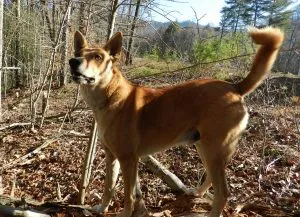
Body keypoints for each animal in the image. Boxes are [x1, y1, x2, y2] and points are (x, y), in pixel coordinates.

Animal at [69, 27, 284, 217]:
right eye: (78, 53)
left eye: (98, 57)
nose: (73, 61)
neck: (108, 96)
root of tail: (235, 87)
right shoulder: (112, 156)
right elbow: (109, 188)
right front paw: (102, 208)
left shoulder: (128, 159)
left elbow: (129, 195)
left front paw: (125, 213)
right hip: (204, 147)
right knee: (211, 179)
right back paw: (196, 193)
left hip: (214, 149)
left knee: (223, 192)